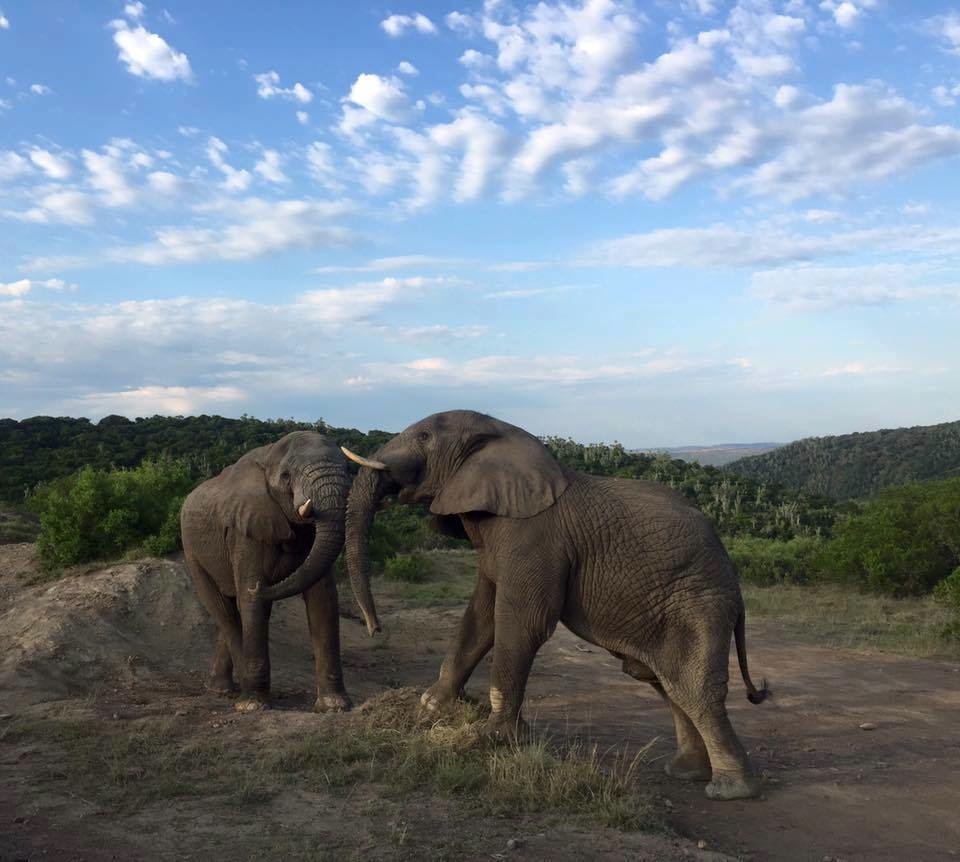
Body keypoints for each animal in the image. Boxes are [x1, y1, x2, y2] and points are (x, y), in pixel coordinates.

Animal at [180, 432, 378, 716]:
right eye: (286, 476)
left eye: (348, 469)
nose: (374, 629)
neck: (269, 454)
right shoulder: (245, 529)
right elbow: (251, 600)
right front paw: (253, 706)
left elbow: (323, 598)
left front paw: (334, 706)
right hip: (192, 550)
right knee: (224, 609)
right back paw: (238, 694)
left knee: (234, 611)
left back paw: (223, 690)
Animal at [342, 412, 768, 804]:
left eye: (425, 437)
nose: (375, 628)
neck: (501, 433)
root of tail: (735, 584)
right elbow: (480, 619)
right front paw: (430, 707)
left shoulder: (533, 536)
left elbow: (521, 623)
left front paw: (491, 737)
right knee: (664, 682)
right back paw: (685, 772)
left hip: (698, 605)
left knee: (693, 688)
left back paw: (729, 790)